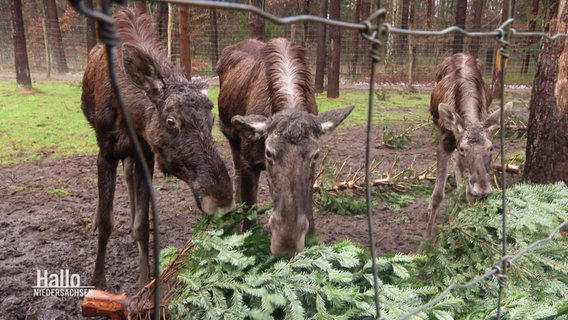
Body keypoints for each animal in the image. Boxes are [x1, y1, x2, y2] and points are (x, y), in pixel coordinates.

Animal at [81, 7, 234, 288]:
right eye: (171, 121)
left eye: (212, 119)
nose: (221, 201)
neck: (131, 116)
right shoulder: (105, 152)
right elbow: (108, 221)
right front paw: (98, 281)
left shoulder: (145, 153)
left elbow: (143, 224)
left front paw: (144, 280)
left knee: (129, 176)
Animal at [215, 38, 352, 256]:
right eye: (269, 152)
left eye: (316, 155)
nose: (287, 243)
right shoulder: (248, 161)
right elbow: (250, 211)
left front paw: (310, 239)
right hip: (231, 138)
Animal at [428, 52, 512, 238]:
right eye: (462, 149)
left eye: (491, 148)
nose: (482, 190)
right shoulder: (445, 141)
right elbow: (438, 195)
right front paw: (427, 237)